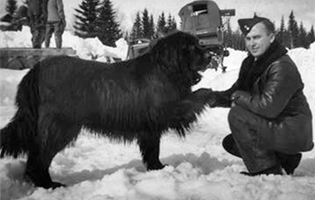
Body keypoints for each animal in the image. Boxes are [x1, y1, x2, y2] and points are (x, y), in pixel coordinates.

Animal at [0, 30, 214, 188]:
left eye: (199, 44)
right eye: (191, 47)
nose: (210, 56)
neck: (166, 69)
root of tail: (34, 70)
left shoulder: (150, 127)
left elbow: (153, 150)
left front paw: (157, 168)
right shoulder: (166, 109)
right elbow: (195, 98)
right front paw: (211, 93)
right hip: (60, 126)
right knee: (40, 155)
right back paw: (48, 184)